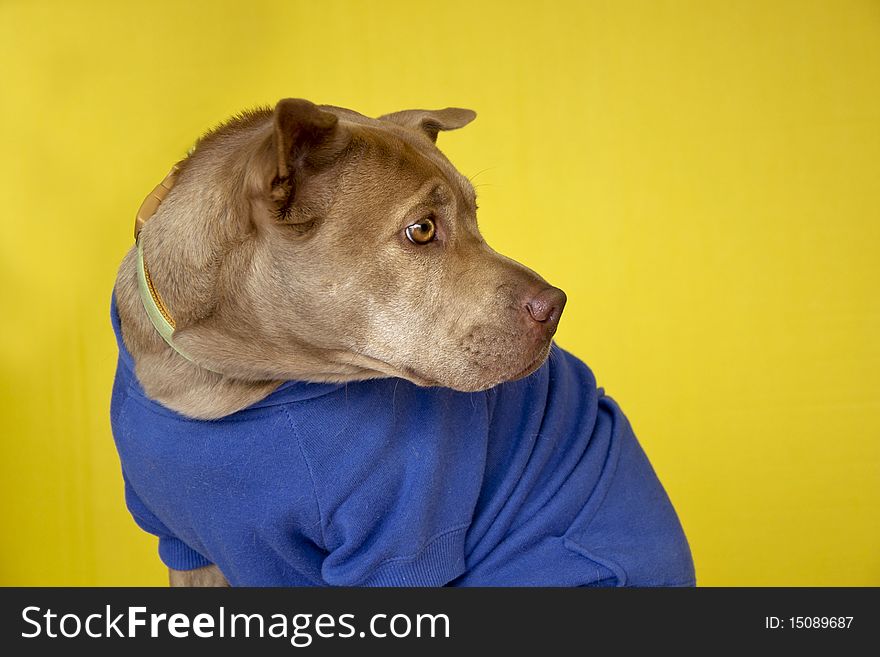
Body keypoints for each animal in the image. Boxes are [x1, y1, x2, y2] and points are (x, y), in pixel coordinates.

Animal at [110, 98, 696, 584]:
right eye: (422, 230)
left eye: (476, 213)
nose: (555, 307)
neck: (221, 385)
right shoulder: (185, 549)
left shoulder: (395, 548)